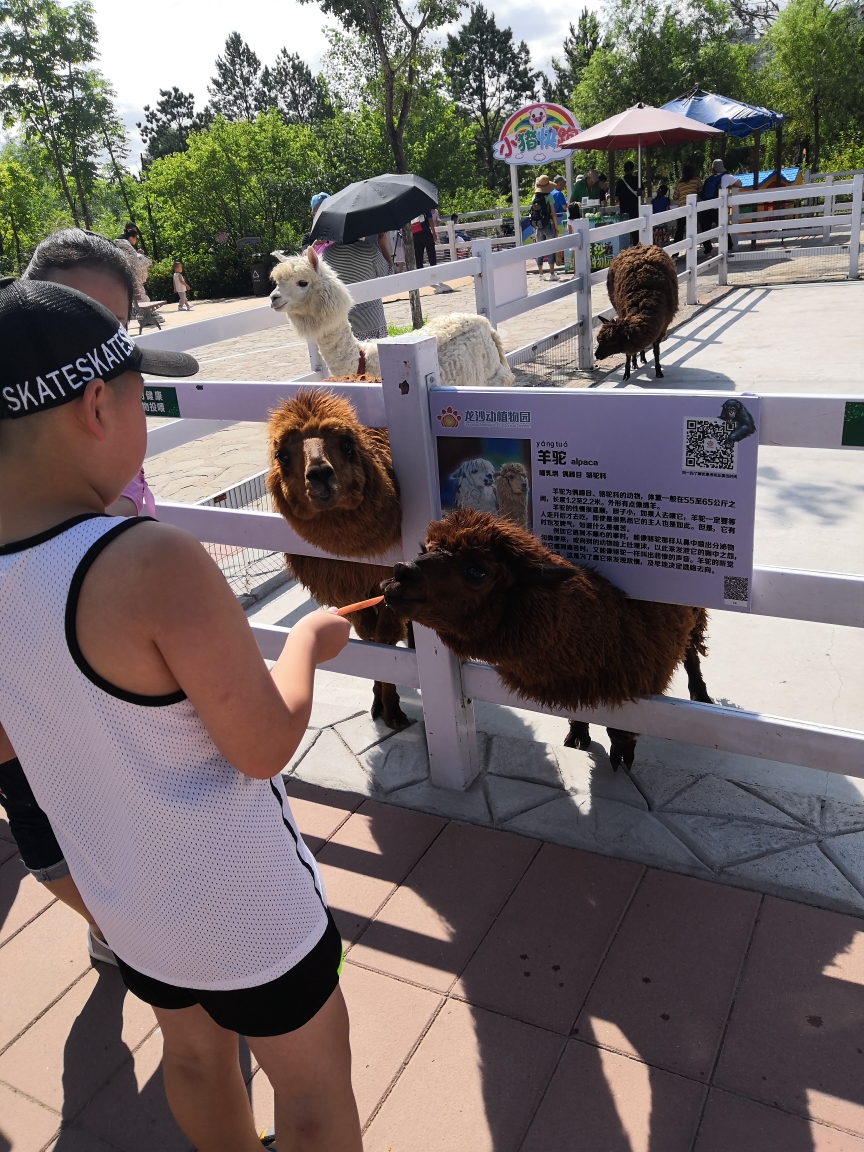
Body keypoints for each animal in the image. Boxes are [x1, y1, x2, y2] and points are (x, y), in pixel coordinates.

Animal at [266, 387, 410, 728]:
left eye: (347, 444)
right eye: (282, 455)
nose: (319, 474)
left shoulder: (386, 582)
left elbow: (384, 638)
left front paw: (393, 710)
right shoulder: (347, 587)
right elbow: (369, 639)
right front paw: (379, 701)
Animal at [382, 509, 714, 769]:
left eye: (477, 571)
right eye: (424, 549)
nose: (400, 573)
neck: (612, 626)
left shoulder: (645, 669)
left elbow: (624, 727)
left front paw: (622, 752)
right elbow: (580, 711)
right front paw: (578, 735)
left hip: (694, 612)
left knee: (691, 652)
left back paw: (701, 695)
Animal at [599, 246, 681, 382]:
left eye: (611, 341)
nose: (596, 355)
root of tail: (638, 245)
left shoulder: (660, 328)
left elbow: (656, 351)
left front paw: (658, 371)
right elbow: (628, 353)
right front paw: (627, 372)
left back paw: (641, 358)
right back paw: (636, 361)